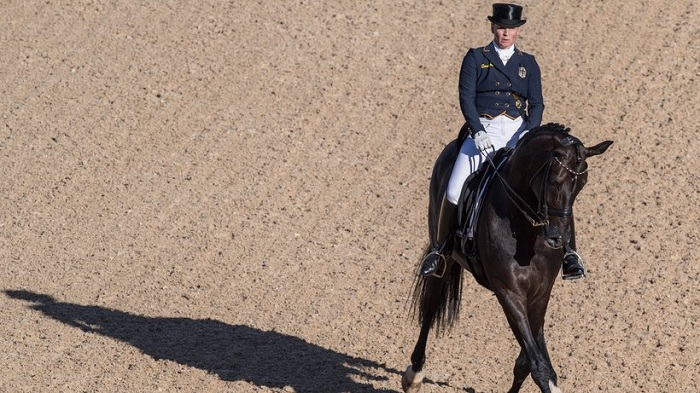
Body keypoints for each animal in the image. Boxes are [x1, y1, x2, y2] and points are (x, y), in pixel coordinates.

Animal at [404, 123, 612, 392]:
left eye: (582, 184)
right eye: (554, 181)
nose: (558, 239)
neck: (526, 230)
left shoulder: (541, 292)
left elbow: (528, 358)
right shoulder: (509, 292)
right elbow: (536, 362)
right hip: (444, 257)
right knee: (430, 305)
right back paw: (414, 374)